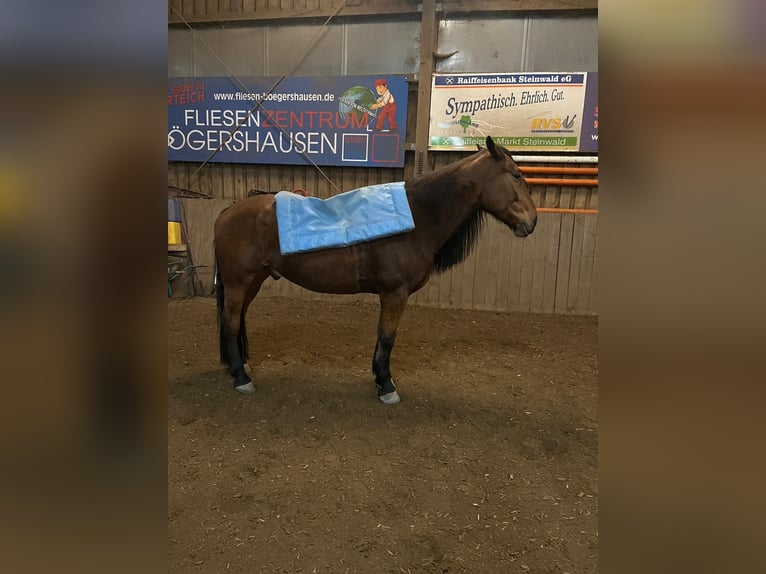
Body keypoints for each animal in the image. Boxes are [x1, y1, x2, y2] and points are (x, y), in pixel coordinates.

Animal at [213, 135, 537, 404]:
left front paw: (381, 378)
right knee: (230, 323)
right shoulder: (394, 294)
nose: (532, 222)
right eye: (516, 174)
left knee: (238, 320)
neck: (417, 216)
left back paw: (240, 366)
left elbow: (383, 337)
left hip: (252, 281)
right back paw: (241, 378)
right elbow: (387, 337)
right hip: (239, 283)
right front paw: (386, 385)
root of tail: (228, 211)